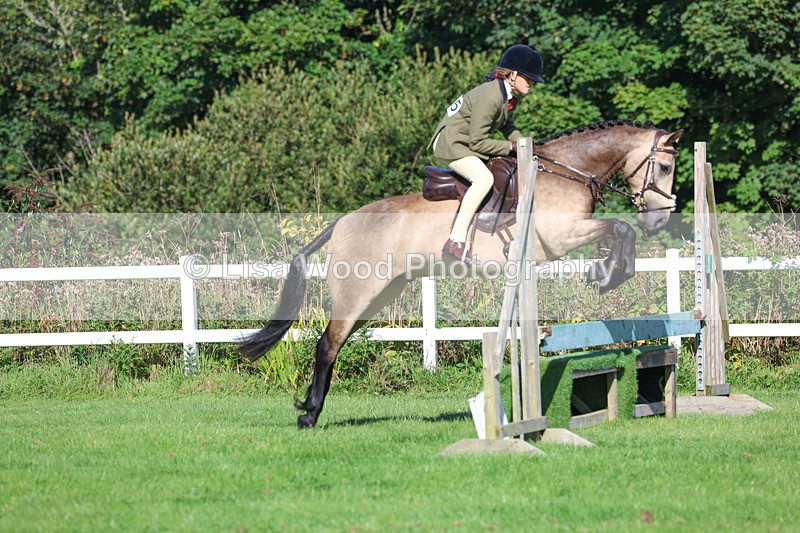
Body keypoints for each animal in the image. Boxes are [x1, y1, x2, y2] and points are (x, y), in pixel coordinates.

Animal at [240, 119, 683, 428]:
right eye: (663, 167)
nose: (661, 221)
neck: (569, 171)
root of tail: (342, 221)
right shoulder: (561, 236)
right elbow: (620, 228)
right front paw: (606, 274)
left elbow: (621, 232)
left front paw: (609, 271)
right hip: (357, 292)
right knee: (327, 345)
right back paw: (309, 415)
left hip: (380, 293)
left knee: (336, 343)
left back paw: (310, 409)